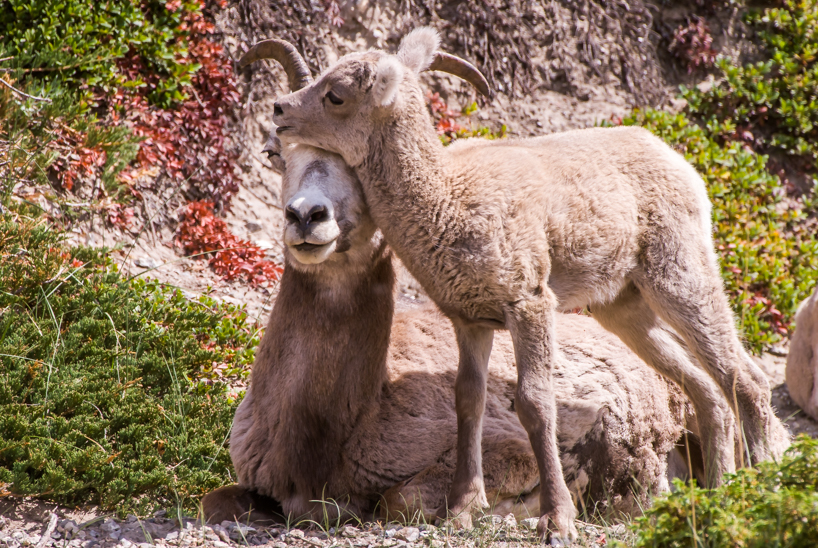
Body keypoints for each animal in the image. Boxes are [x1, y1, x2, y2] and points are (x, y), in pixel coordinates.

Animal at [247, 28, 789, 542]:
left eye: (335, 95)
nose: (279, 108)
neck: (448, 199)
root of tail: (677, 161)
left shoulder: (528, 304)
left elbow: (535, 404)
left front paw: (557, 522)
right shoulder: (471, 320)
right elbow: (469, 401)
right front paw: (462, 512)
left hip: (680, 278)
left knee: (745, 379)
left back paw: (759, 488)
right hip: (626, 310)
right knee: (707, 389)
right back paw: (714, 496)